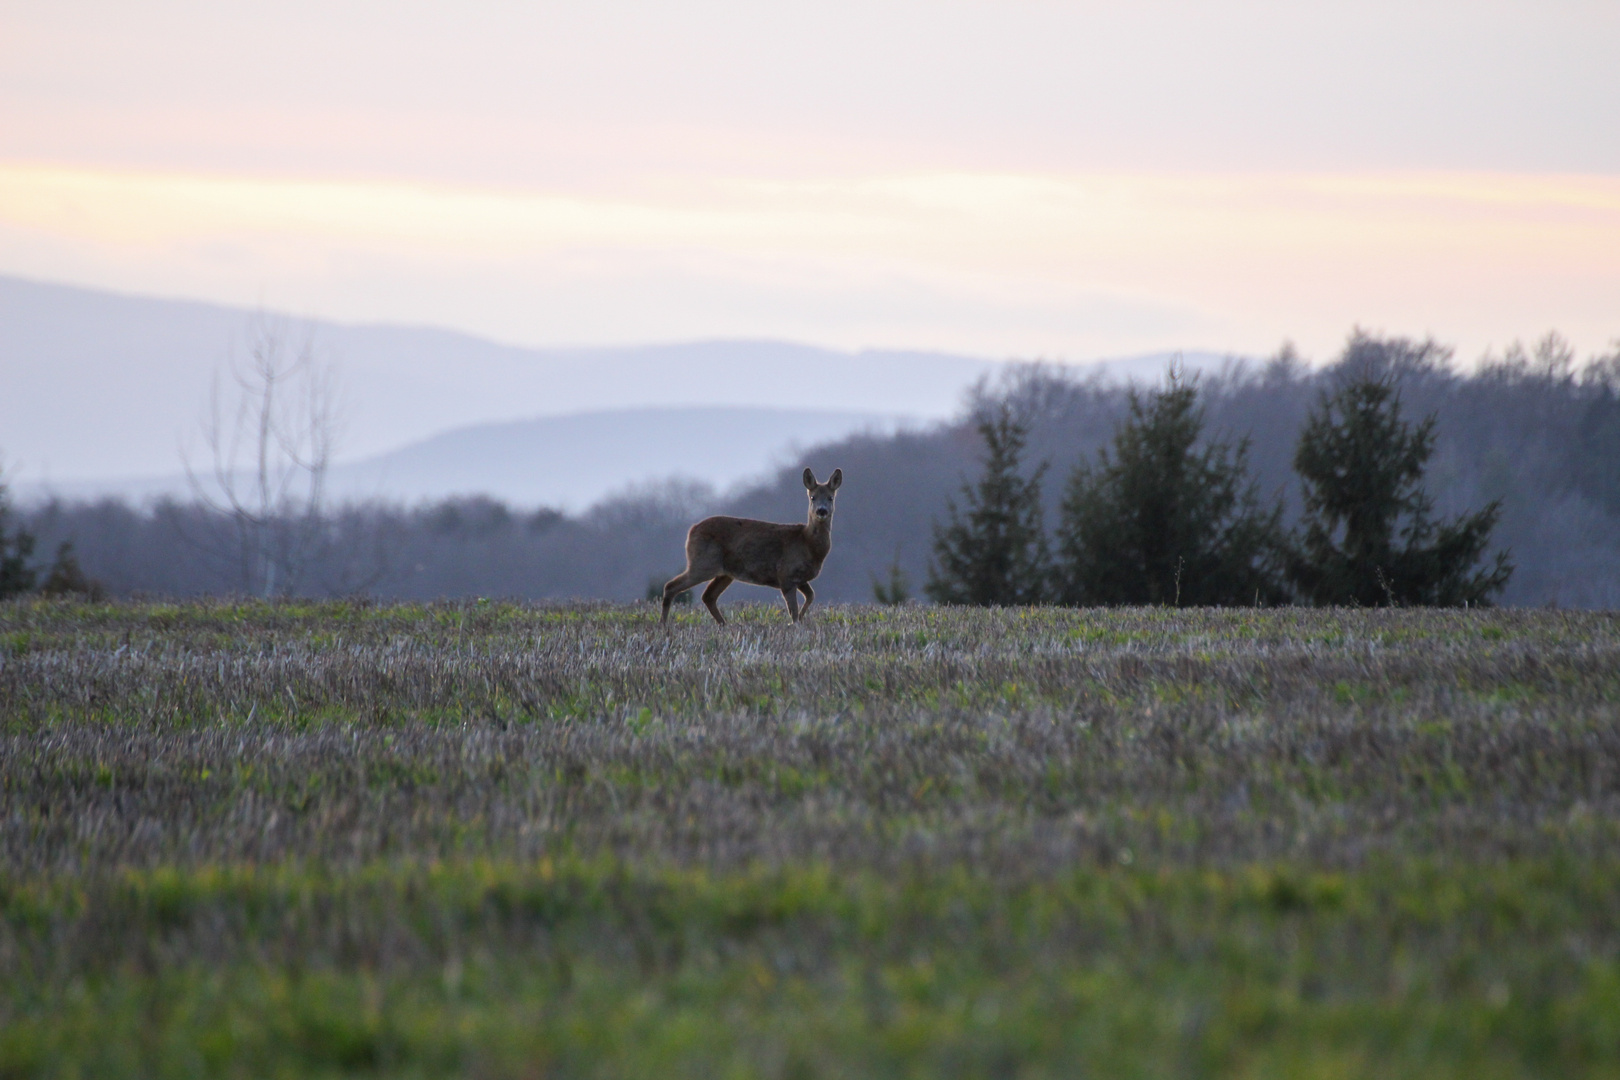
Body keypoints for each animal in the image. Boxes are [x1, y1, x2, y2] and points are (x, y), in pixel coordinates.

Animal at [657, 466, 842, 625]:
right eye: (813, 497)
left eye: (830, 497)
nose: (821, 511)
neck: (807, 543)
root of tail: (692, 530)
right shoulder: (786, 573)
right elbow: (794, 610)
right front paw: (795, 623)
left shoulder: (800, 578)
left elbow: (810, 596)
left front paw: (801, 620)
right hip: (703, 563)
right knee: (671, 586)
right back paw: (663, 625)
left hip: (725, 572)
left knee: (708, 596)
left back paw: (724, 625)